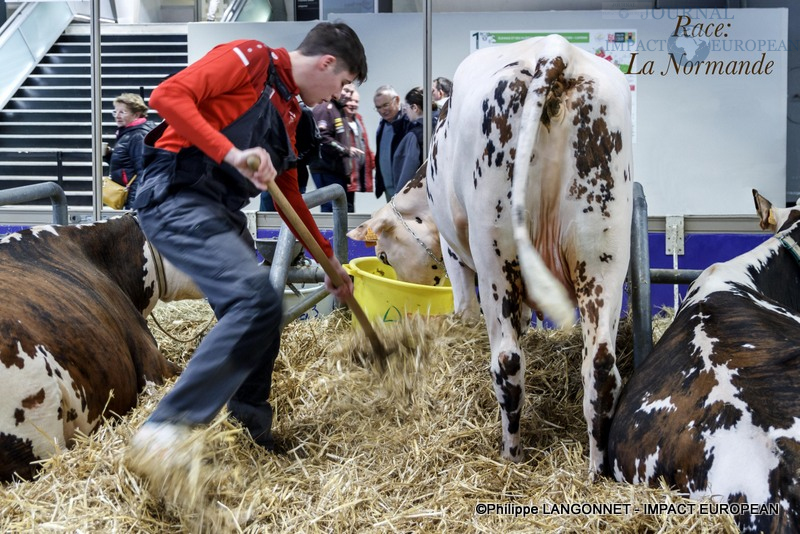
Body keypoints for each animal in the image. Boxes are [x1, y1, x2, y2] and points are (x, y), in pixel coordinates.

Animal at [350, 35, 632, 476]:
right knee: (601, 368)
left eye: (383, 254)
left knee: (508, 362)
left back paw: (510, 456)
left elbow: (466, 308)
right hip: (604, 255)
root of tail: (556, 50)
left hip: (495, 252)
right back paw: (596, 470)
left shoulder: (454, 254)